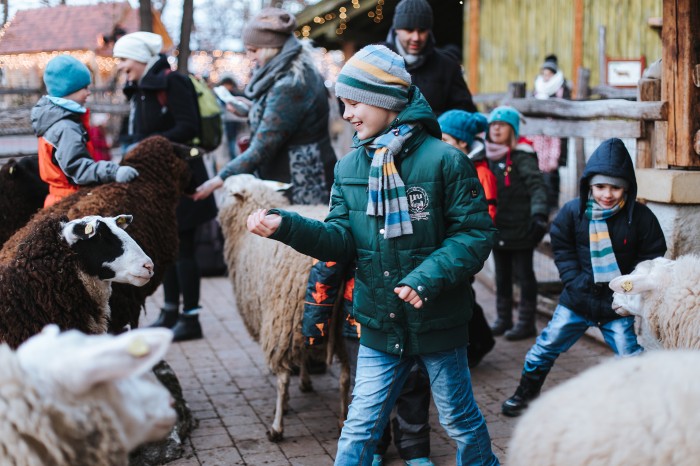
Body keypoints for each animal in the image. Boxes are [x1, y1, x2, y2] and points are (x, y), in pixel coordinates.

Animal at [216, 174, 350, 440]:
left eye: (226, 191)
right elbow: (305, 355)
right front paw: (306, 381)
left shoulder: (286, 319)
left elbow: (288, 370)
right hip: (339, 324)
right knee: (346, 376)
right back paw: (343, 418)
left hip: (284, 314)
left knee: (282, 377)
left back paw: (277, 425)